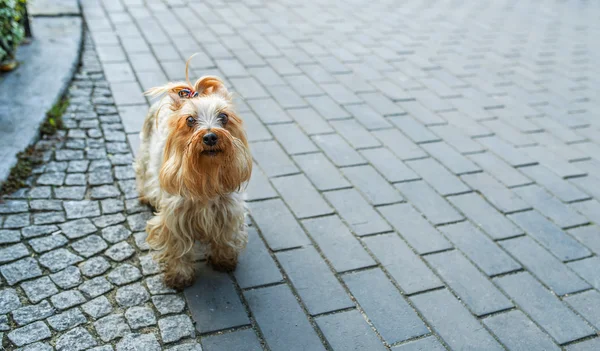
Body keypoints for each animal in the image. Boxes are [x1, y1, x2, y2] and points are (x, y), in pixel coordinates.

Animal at [134, 64, 251, 292]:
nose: (210, 136)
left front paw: (224, 260)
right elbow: (177, 245)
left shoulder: (228, 209)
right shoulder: (174, 216)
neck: (207, 174)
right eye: (190, 120)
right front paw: (179, 276)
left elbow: (225, 236)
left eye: (223, 117)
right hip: (145, 150)